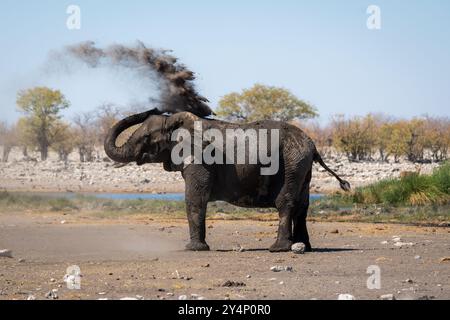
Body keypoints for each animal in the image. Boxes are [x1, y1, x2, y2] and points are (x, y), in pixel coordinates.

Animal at [103, 110, 350, 252]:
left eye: (146, 137)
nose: (153, 107)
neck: (175, 123)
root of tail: (313, 144)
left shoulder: (201, 158)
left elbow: (195, 198)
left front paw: (193, 249)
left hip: (292, 162)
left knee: (286, 203)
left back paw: (277, 249)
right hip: (301, 166)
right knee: (302, 206)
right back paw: (303, 247)